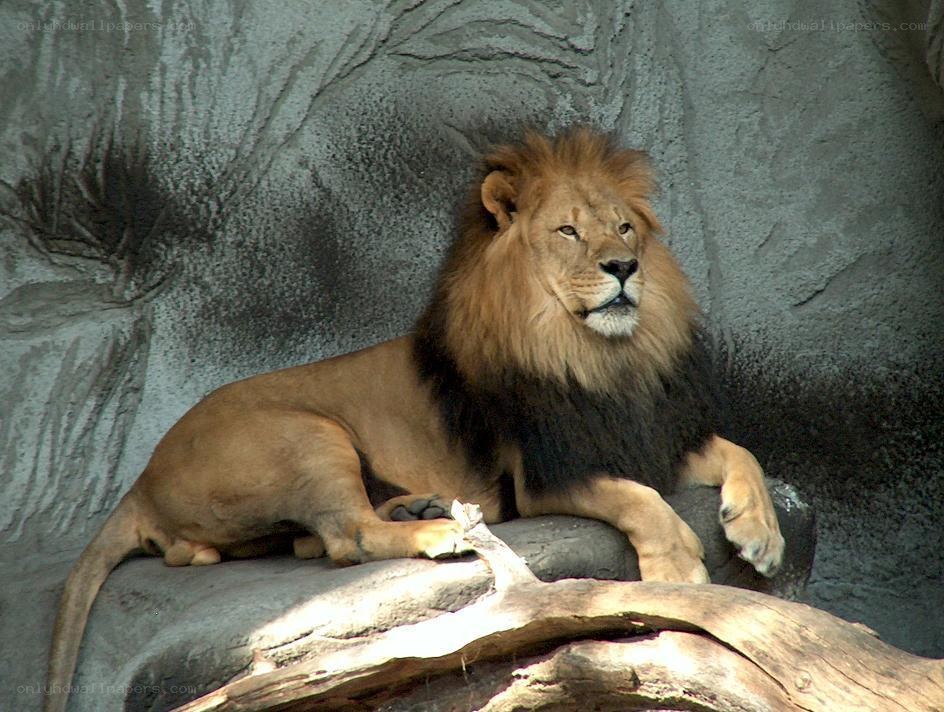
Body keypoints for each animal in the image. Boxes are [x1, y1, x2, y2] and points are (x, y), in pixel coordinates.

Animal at [45, 128, 783, 712]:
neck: (600, 356)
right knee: (348, 539)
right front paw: (677, 566)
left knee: (303, 542)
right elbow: (639, 500)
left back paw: (416, 506)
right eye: (568, 231)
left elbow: (741, 451)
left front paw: (760, 533)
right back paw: (438, 531)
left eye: (624, 226)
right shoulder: (543, 475)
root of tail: (141, 478)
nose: (624, 267)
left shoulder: (646, 434)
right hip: (308, 431)